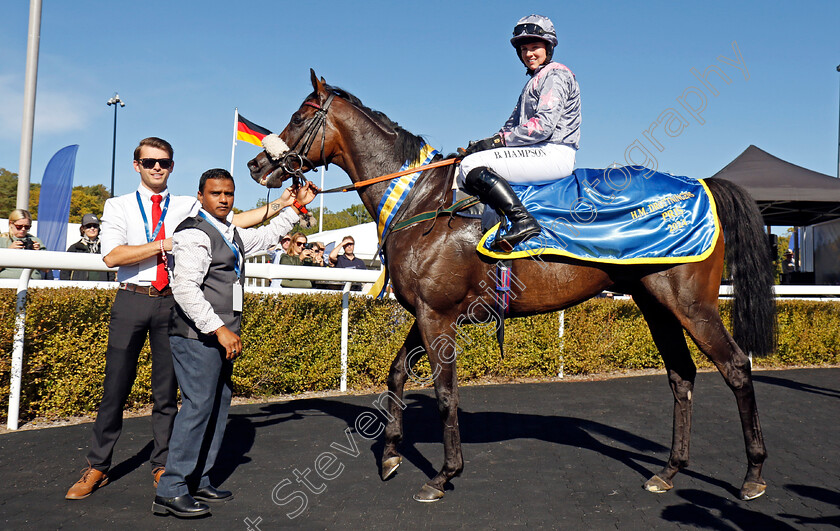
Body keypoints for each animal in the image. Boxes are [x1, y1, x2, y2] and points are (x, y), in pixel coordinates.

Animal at [248, 69, 776, 502]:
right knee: (681, 376)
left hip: (690, 303)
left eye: (299, 116)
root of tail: (701, 185)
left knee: (735, 367)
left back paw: (753, 474)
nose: (256, 166)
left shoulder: (438, 316)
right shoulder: (425, 312)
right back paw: (668, 472)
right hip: (655, 303)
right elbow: (396, 375)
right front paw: (392, 454)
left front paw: (443, 475)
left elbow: (445, 393)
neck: (420, 201)